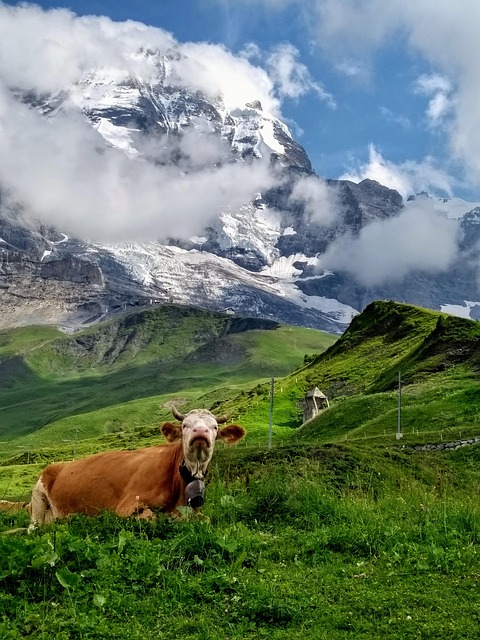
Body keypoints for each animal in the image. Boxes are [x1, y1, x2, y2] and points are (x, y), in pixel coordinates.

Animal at [29, 406, 246, 527]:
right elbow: (151, 518)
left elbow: (205, 519)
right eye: (185, 425)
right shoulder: (126, 506)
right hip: (38, 499)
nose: (200, 432)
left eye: (214, 427)